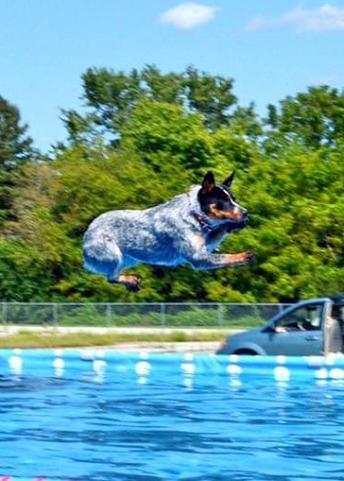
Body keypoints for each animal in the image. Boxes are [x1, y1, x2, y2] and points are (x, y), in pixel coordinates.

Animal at [83, 171, 254, 290]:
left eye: (234, 199)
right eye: (223, 201)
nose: (246, 212)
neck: (194, 214)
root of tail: (87, 232)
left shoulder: (204, 243)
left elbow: (218, 231)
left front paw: (233, 225)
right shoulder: (198, 257)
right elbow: (224, 257)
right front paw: (244, 255)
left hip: (131, 258)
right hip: (113, 254)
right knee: (110, 277)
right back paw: (131, 280)